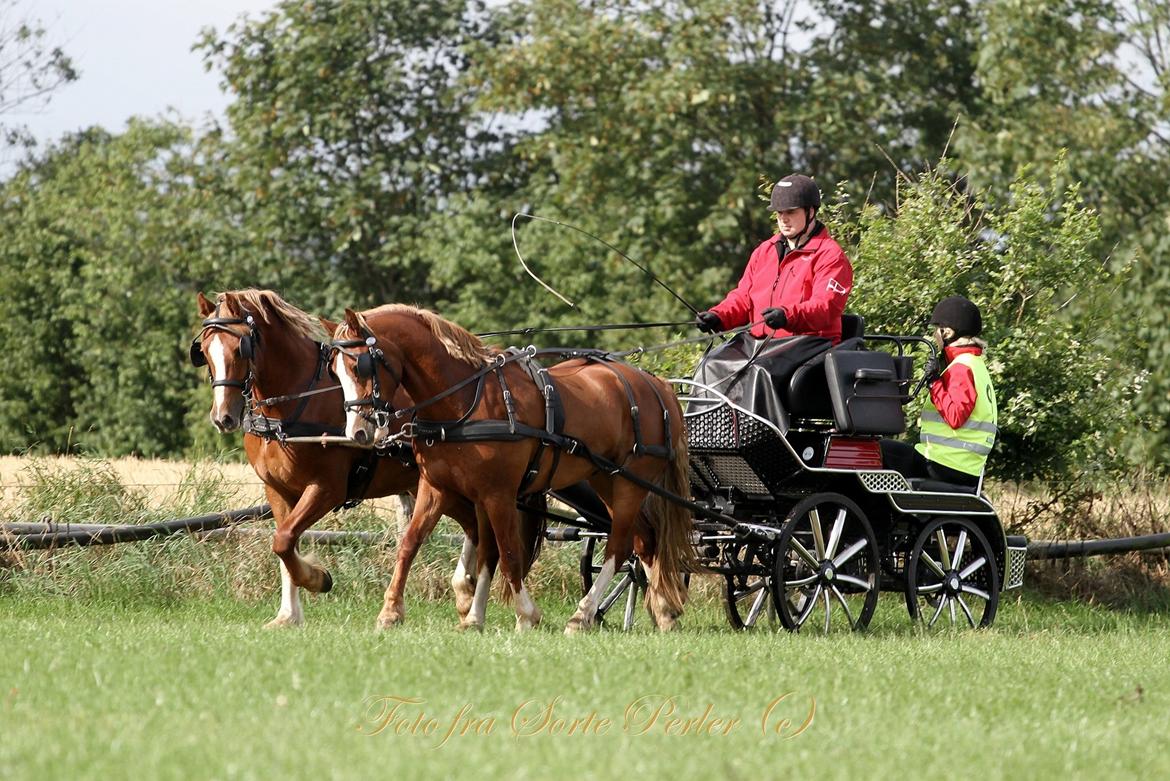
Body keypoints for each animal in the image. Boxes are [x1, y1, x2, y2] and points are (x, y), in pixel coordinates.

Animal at [193, 291, 542, 626]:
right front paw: (288, 615)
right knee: (473, 527)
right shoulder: (277, 490)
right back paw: (465, 591)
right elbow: (284, 546)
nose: (223, 417)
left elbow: (284, 540)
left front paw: (317, 579)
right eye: (205, 351)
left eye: (240, 348)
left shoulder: (326, 488)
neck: (293, 406)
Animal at [329, 303, 692, 636]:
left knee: (619, 545)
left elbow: (508, 553)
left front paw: (526, 614)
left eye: (359, 365)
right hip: (606, 480)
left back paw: (583, 615)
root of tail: (657, 385)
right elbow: (417, 545)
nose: (357, 432)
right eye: (335, 370)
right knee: (644, 540)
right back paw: (663, 611)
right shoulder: (441, 489)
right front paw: (399, 613)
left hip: (631, 483)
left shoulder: (498, 494)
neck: (465, 400)